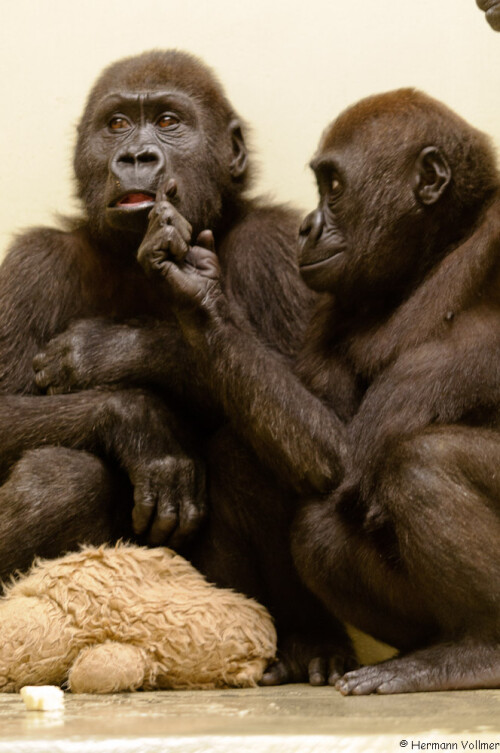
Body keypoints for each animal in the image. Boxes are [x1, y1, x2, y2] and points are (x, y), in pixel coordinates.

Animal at [2, 47, 352, 680]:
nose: (137, 156)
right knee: (58, 476)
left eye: (168, 121)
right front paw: (139, 422)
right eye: (117, 124)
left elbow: (339, 436)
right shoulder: (31, 265)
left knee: (254, 452)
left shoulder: (280, 248)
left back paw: (310, 638)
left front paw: (142, 337)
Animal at [140, 89, 500, 692]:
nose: (306, 228)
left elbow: (368, 447)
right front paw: (199, 293)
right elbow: (334, 448)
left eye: (333, 186)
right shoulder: (332, 306)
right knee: (303, 514)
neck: (441, 245)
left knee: (422, 460)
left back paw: (482, 649)